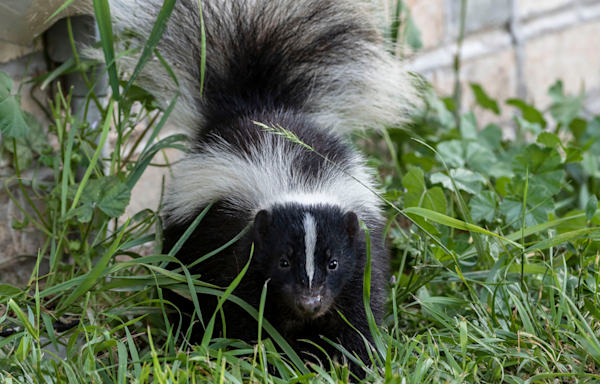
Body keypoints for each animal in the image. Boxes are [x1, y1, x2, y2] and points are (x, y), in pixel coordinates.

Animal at [106, 0, 412, 376]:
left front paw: (355, 365)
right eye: (283, 261)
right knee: (182, 287)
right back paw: (185, 334)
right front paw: (263, 362)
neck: (298, 183)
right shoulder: (240, 252)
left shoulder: (361, 256)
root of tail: (255, 106)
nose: (310, 301)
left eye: (333, 263)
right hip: (187, 235)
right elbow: (244, 312)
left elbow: (357, 315)